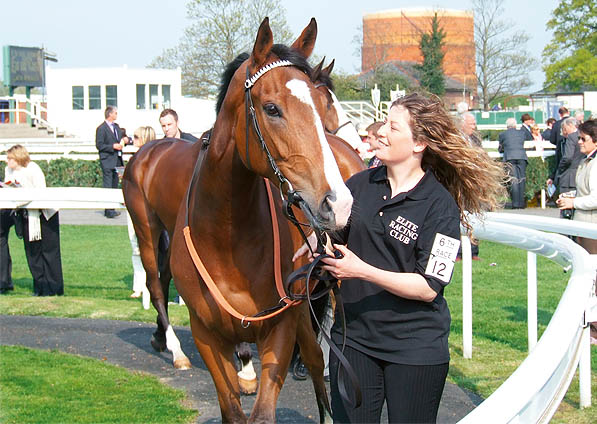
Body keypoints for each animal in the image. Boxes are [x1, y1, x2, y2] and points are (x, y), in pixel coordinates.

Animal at [121, 16, 364, 394]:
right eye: (272, 108)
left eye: (317, 101)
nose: (339, 202)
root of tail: (147, 150)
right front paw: (247, 365)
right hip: (146, 228)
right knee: (156, 285)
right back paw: (176, 350)